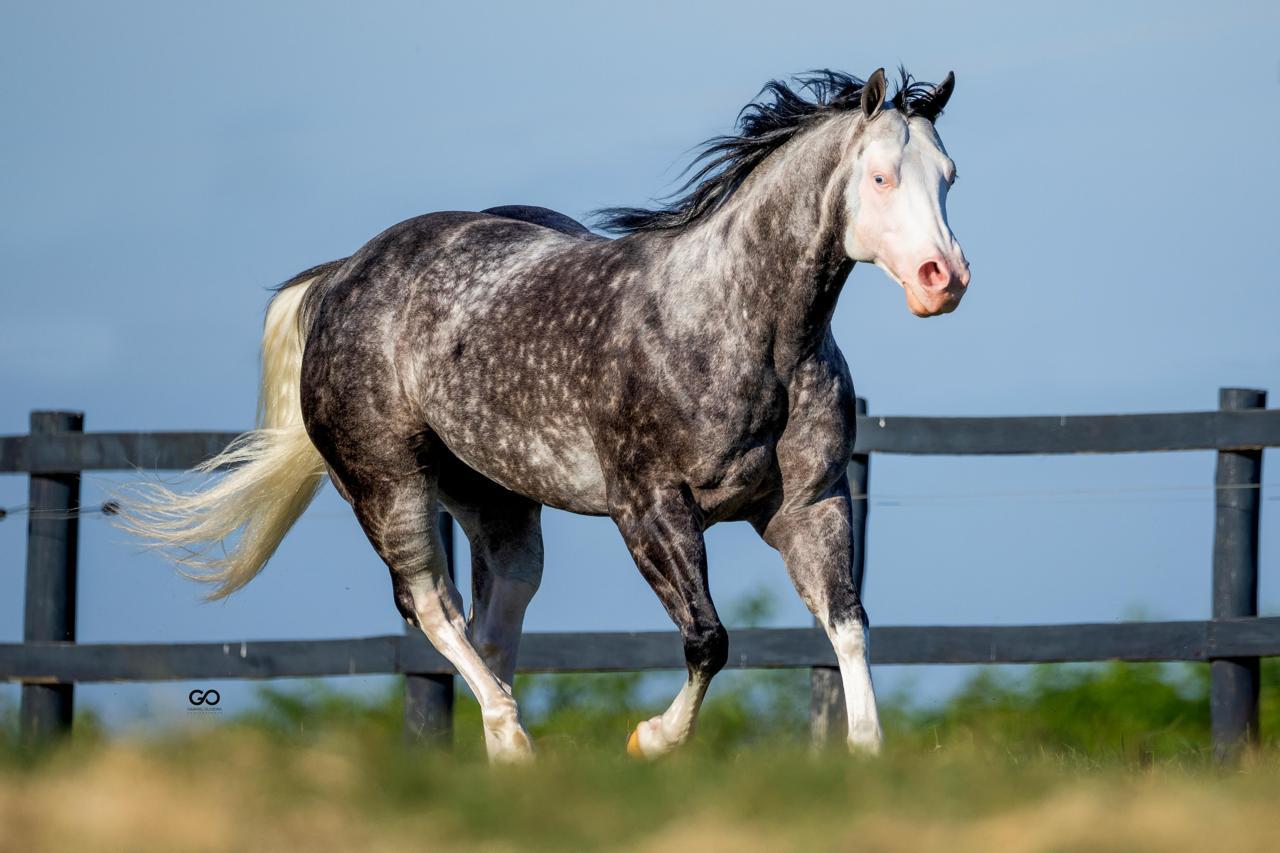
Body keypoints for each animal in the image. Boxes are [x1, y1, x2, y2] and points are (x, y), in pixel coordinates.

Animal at [122, 66, 967, 758]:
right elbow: (708, 639)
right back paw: (512, 736)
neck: (741, 329)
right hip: (387, 485)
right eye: (881, 176)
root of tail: (341, 274)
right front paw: (652, 739)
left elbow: (847, 623)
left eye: (949, 176)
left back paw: (506, 759)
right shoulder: (650, 508)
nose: (943, 279)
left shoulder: (810, 504)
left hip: (497, 501)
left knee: (494, 620)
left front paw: (865, 755)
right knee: (432, 606)